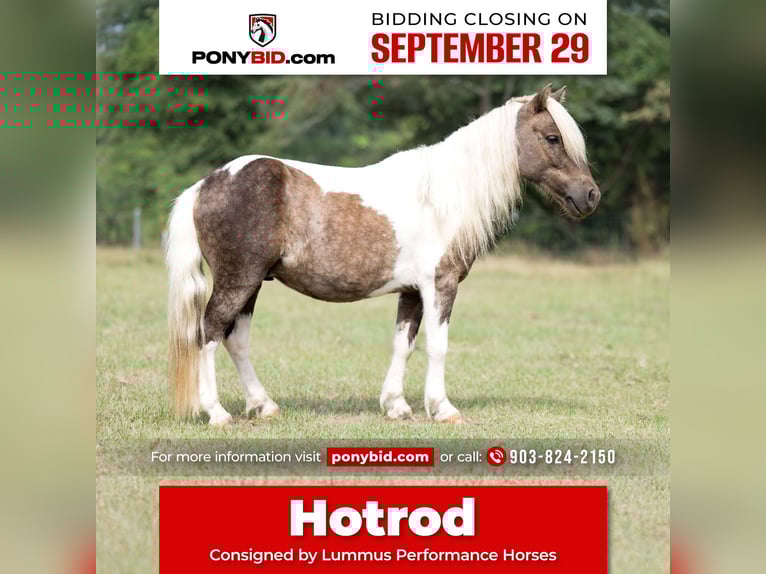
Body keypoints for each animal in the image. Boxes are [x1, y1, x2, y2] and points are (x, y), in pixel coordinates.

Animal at [165, 84, 600, 426]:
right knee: (209, 332)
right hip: (238, 280)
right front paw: (443, 409)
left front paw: (396, 405)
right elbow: (437, 345)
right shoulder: (439, 286)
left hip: (252, 283)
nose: (591, 195)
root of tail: (206, 184)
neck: (441, 196)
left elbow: (403, 344)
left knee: (235, 339)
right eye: (552, 138)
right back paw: (217, 412)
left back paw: (264, 405)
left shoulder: (412, 291)